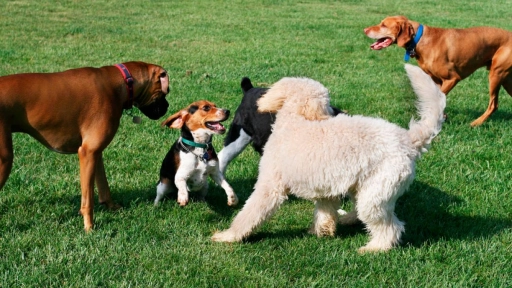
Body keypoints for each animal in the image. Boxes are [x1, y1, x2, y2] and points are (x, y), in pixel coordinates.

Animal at [0, 60, 172, 232]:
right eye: (166, 92)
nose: (168, 106)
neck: (121, 81)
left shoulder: (95, 153)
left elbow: (103, 185)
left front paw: (111, 207)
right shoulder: (87, 153)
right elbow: (88, 198)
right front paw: (89, 226)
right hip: (5, 160)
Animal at [212, 64, 444, 252]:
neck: (295, 120)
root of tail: (407, 139)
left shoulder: (270, 187)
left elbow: (248, 214)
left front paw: (228, 236)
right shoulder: (326, 187)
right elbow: (324, 211)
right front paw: (321, 231)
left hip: (374, 195)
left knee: (391, 227)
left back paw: (374, 248)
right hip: (364, 188)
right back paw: (348, 219)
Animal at [364, 15, 512, 126]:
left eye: (384, 25)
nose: (365, 29)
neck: (420, 40)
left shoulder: (452, 78)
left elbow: (438, 97)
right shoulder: (436, 80)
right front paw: (442, 117)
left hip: (496, 74)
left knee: (493, 104)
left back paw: (476, 123)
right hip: (505, 80)